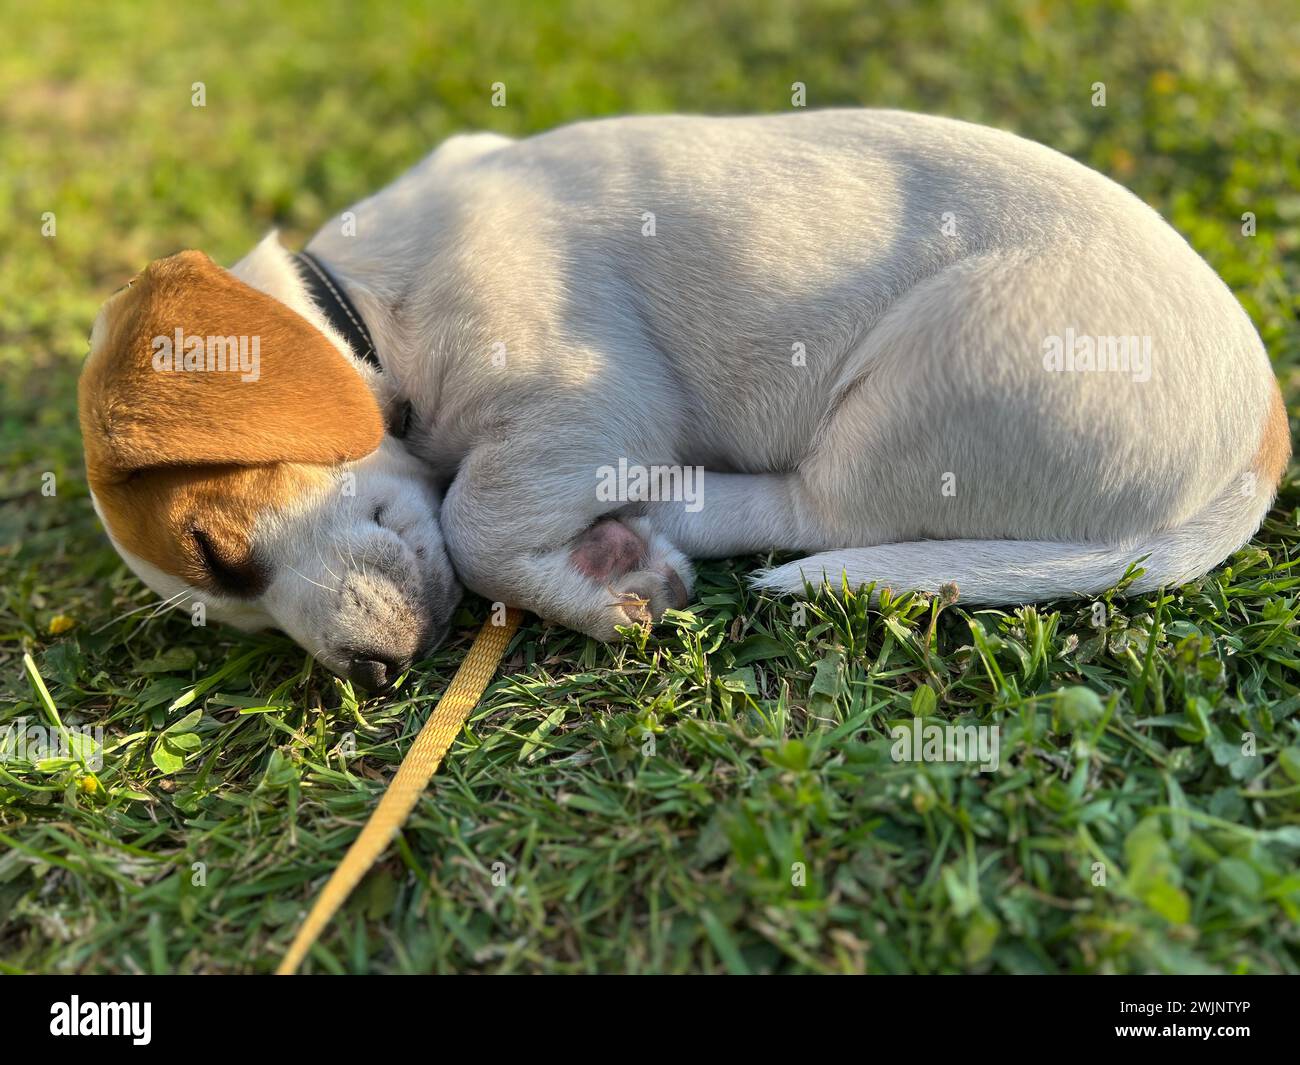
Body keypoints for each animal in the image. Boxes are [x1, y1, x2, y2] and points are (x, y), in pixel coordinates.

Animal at [81, 112, 1289, 686]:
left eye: (218, 549)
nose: (369, 681)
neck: (367, 309)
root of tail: (1260, 436)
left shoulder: (586, 407)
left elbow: (474, 518)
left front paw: (592, 584)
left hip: (932, 375)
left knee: (818, 512)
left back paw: (667, 514)